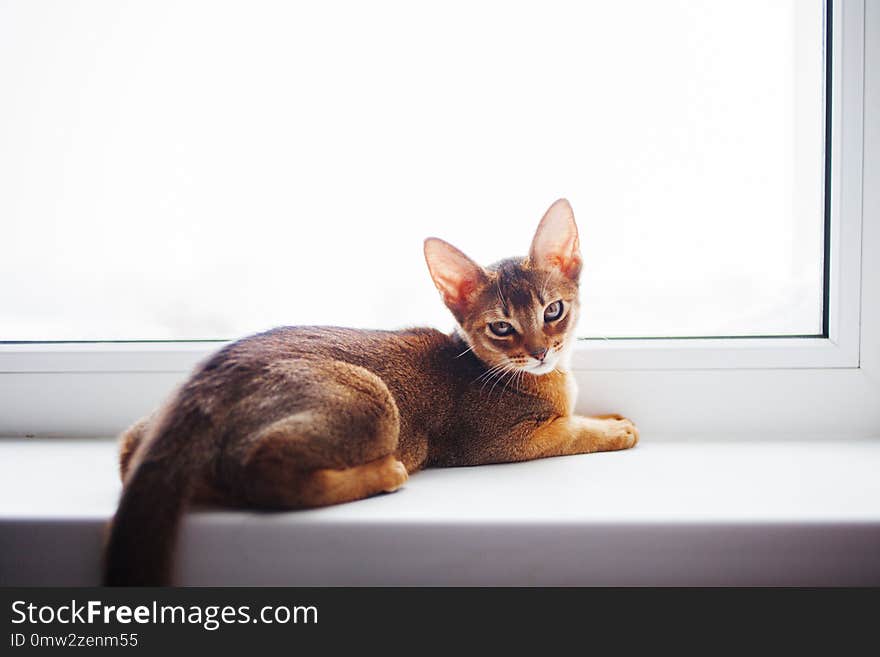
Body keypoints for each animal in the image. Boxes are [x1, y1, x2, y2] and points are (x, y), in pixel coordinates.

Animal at [105, 196, 640, 584]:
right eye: (502, 328)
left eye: (553, 311)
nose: (540, 352)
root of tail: (207, 383)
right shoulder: (502, 440)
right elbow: (570, 432)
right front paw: (616, 430)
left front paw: (607, 417)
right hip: (371, 397)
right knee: (266, 474)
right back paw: (383, 472)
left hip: (151, 432)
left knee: (132, 451)